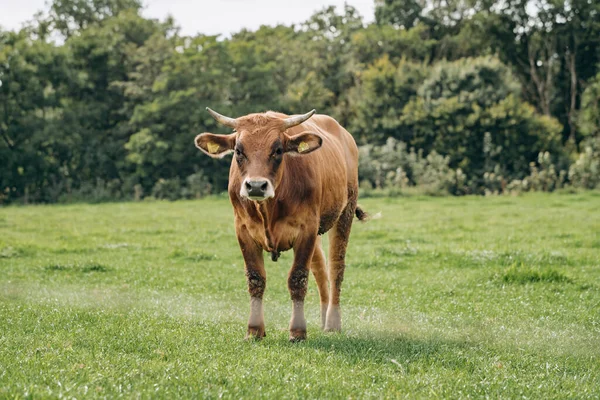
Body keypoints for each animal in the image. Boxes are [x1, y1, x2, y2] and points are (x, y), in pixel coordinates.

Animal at [196, 108, 366, 342]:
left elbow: (297, 278)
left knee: (336, 267)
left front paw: (297, 332)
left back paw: (332, 322)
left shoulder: (306, 229)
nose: (255, 185)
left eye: (277, 150)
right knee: (320, 268)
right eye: (238, 151)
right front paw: (254, 330)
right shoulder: (243, 230)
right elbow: (256, 278)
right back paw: (323, 319)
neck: (269, 209)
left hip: (345, 212)